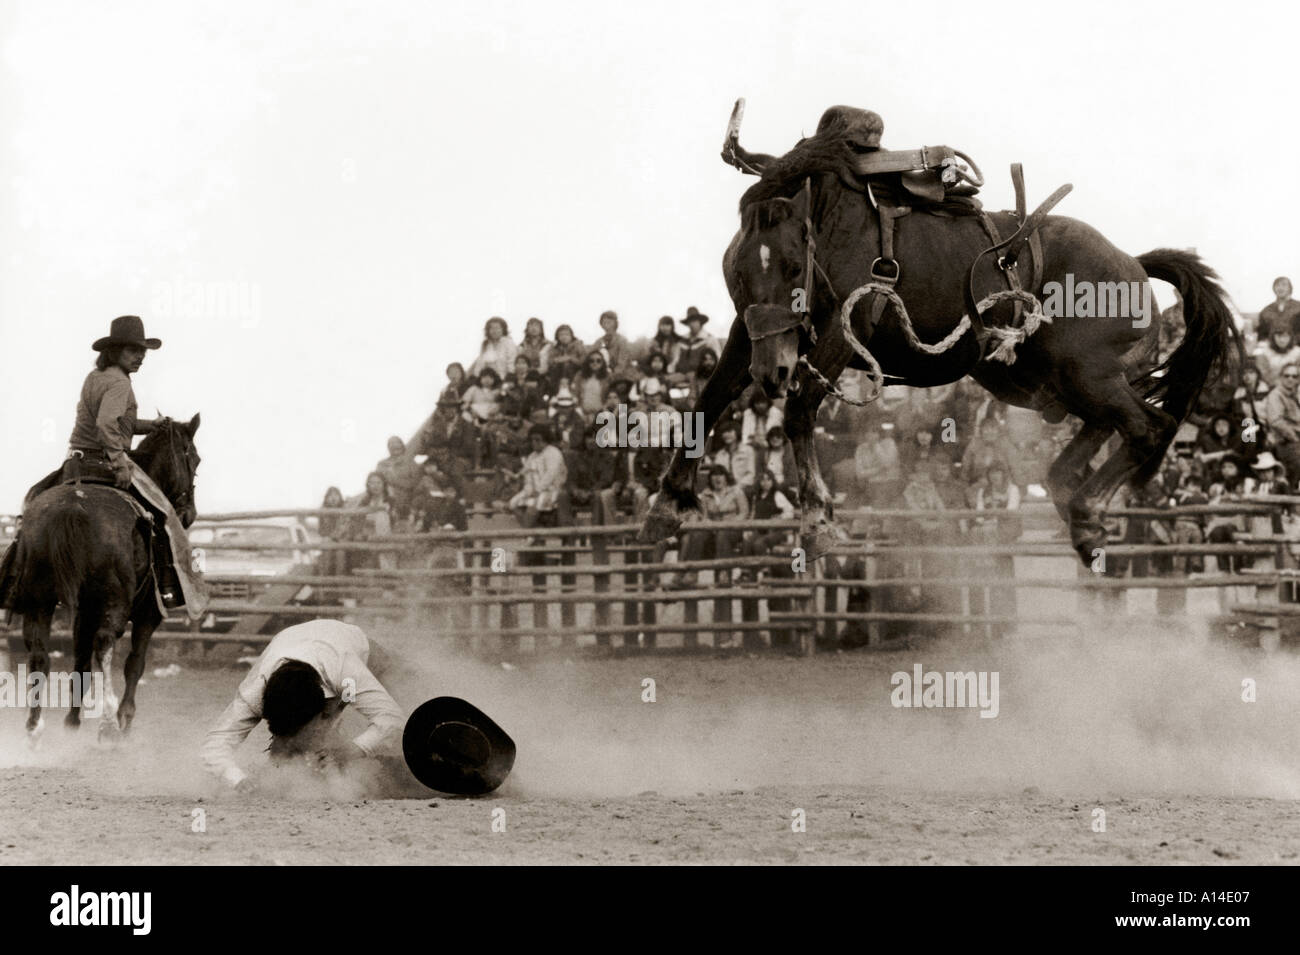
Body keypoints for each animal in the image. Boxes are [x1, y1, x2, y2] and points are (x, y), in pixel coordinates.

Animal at [639, 102, 1237, 566]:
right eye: (740, 271)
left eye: (791, 266)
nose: (772, 373)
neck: (830, 223)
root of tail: (1133, 263)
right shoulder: (750, 333)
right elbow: (710, 398)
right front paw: (666, 506)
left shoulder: (844, 330)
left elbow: (801, 409)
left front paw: (817, 523)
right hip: (1037, 379)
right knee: (1102, 431)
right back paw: (1079, 509)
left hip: (1084, 372)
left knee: (1146, 425)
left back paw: (1089, 517)